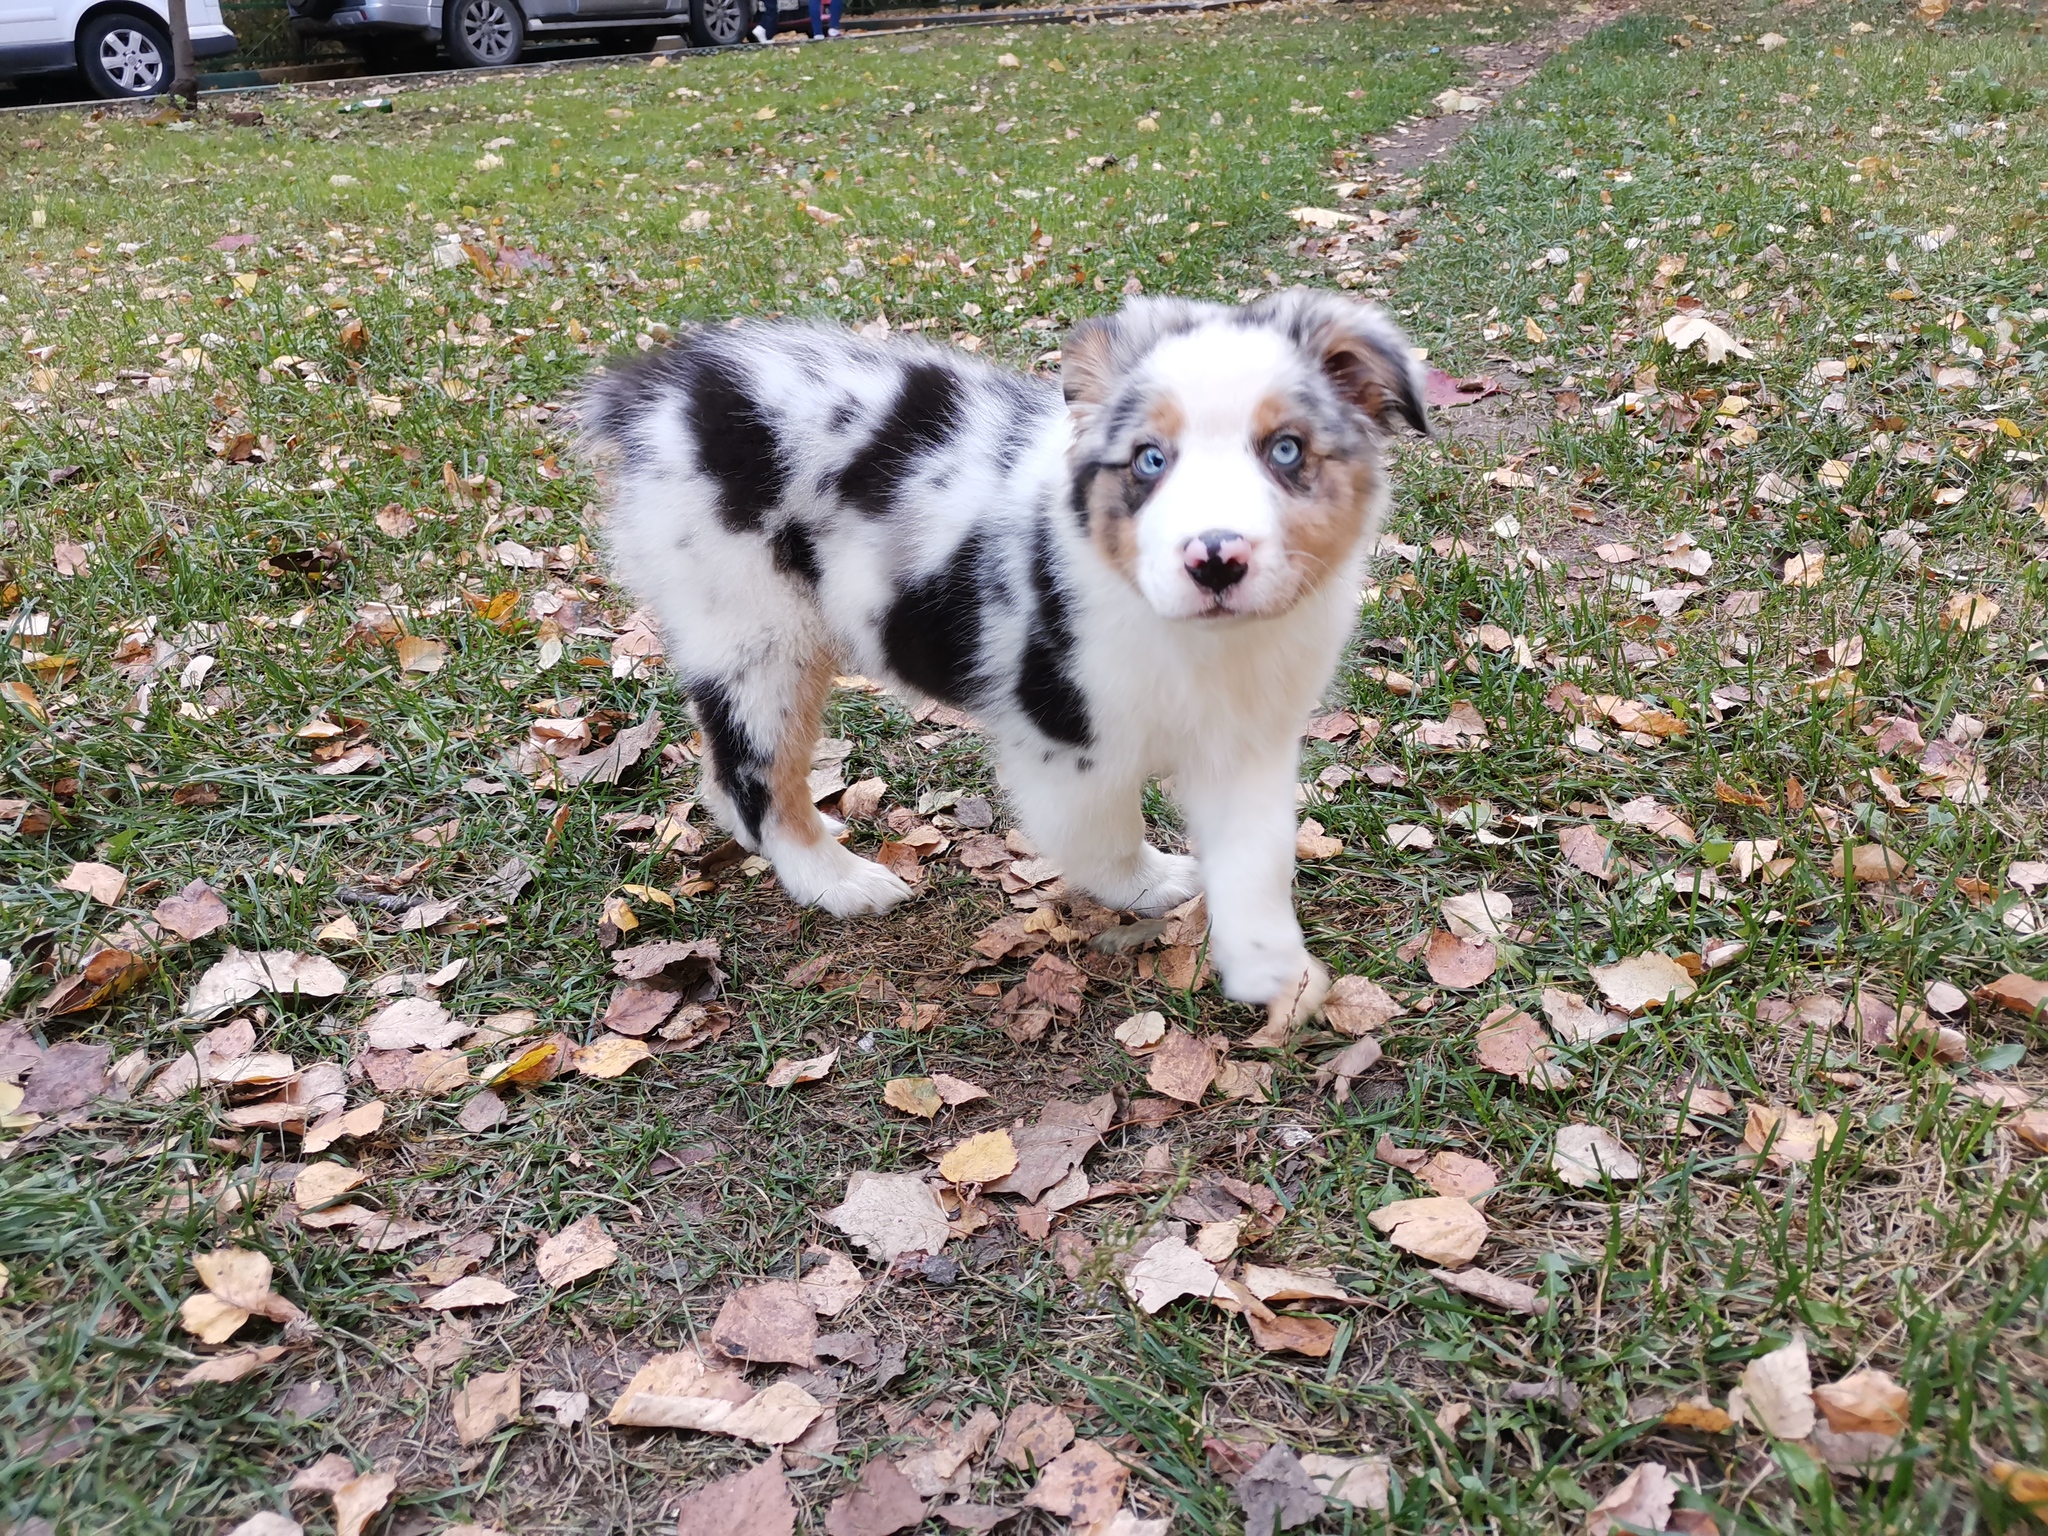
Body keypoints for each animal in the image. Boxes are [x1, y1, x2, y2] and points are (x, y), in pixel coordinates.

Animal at [581, 290, 1425, 1036]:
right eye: (1150, 460)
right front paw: (1149, 884)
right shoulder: (1064, 737)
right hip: (760, 629)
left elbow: (1259, 854)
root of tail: (668, 388)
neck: (1201, 640)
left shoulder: (1248, 736)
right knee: (757, 775)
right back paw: (839, 882)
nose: (1214, 560)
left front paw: (1274, 971)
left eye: (1286, 450)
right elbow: (1105, 832)